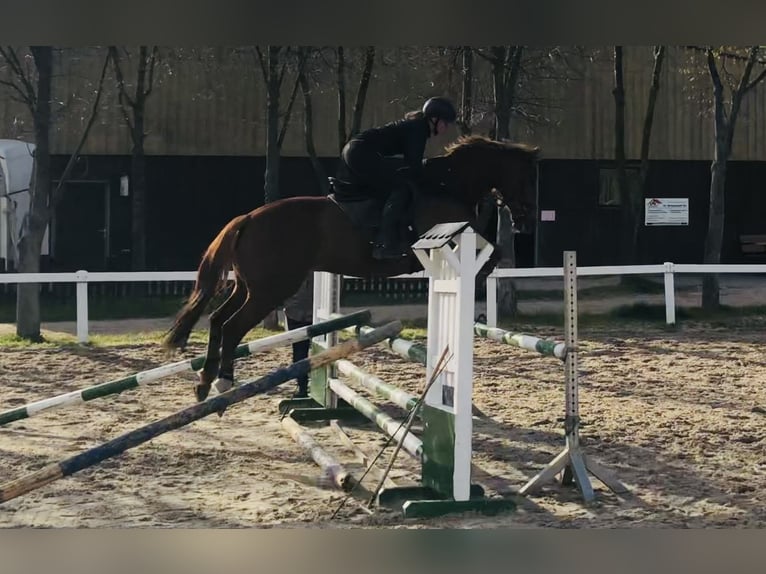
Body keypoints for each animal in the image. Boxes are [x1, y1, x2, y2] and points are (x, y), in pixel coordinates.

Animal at [166, 137, 544, 402]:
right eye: (528, 178)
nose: (526, 222)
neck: (447, 186)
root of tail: (247, 218)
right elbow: (492, 254)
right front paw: (479, 279)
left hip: (249, 286)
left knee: (218, 320)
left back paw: (204, 383)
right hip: (271, 289)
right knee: (232, 326)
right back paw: (223, 381)